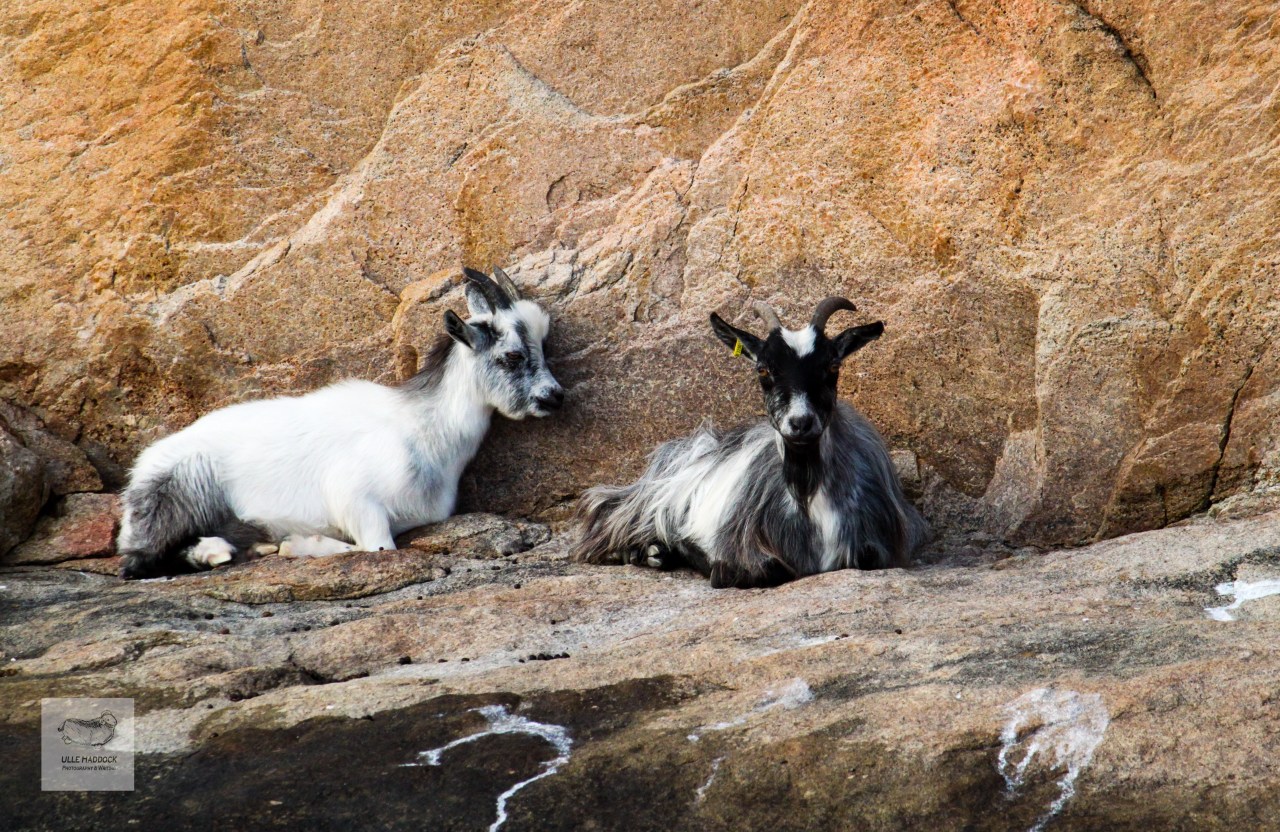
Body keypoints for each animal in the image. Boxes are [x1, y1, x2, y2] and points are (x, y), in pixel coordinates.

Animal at [115, 267, 563, 580]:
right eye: (511, 356)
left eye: (541, 346)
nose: (555, 396)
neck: (425, 427)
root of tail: (141, 470)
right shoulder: (358, 502)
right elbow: (378, 550)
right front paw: (299, 543)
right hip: (178, 495)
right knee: (138, 564)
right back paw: (222, 551)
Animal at [572, 297, 925, 588]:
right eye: (763, 369)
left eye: (833, 366)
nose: (800, 423)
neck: (806, 494)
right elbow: (762, 570)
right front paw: (697, 554)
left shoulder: (880, 544)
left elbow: (867, 557)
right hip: (642, 502)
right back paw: (643, 551)